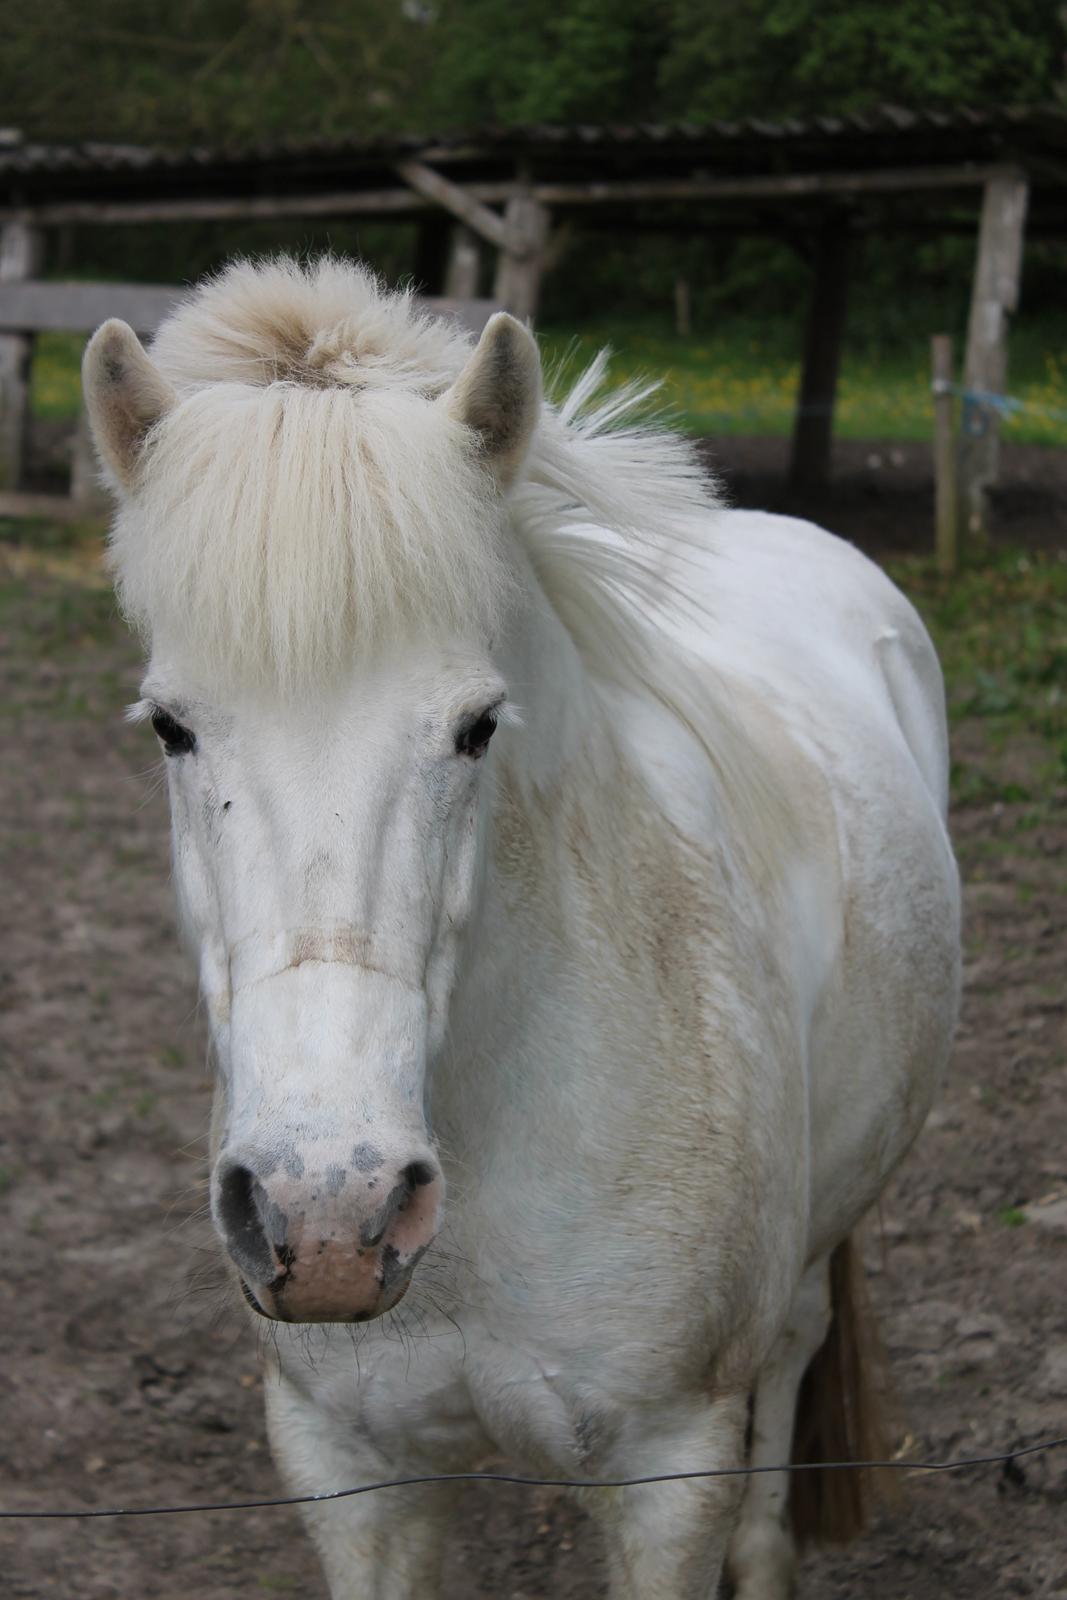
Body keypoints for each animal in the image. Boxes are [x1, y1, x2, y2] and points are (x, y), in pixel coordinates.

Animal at [83, 262, 959, 1600]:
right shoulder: (350, 1467)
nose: (326, 1218)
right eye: (171, 726)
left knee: (795, 1344)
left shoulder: (668, 1473)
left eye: (476, 726)